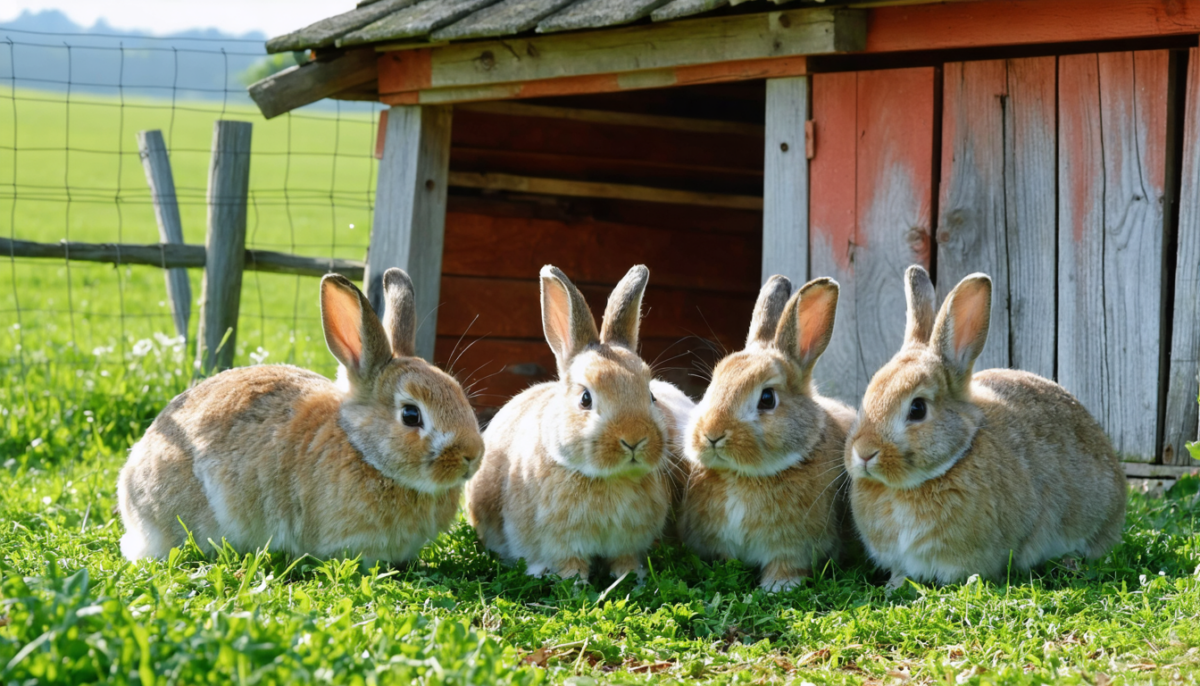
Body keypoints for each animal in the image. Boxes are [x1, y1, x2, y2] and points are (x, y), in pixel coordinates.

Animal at [466, 264, 694, 583]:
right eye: (585, 399)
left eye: (651, 395)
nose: (634, 439)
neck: (608, 478)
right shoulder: (560, 543)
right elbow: (570, 565)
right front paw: (575, 583)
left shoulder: (627, 543)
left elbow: (624, 561)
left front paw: (632, 578)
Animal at [676, 275, 856, 592]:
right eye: (712, 385)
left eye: (767, 399)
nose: (712, 435)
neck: (743, 477)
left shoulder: (793, 548)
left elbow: (786, 565)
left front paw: (778, 586)